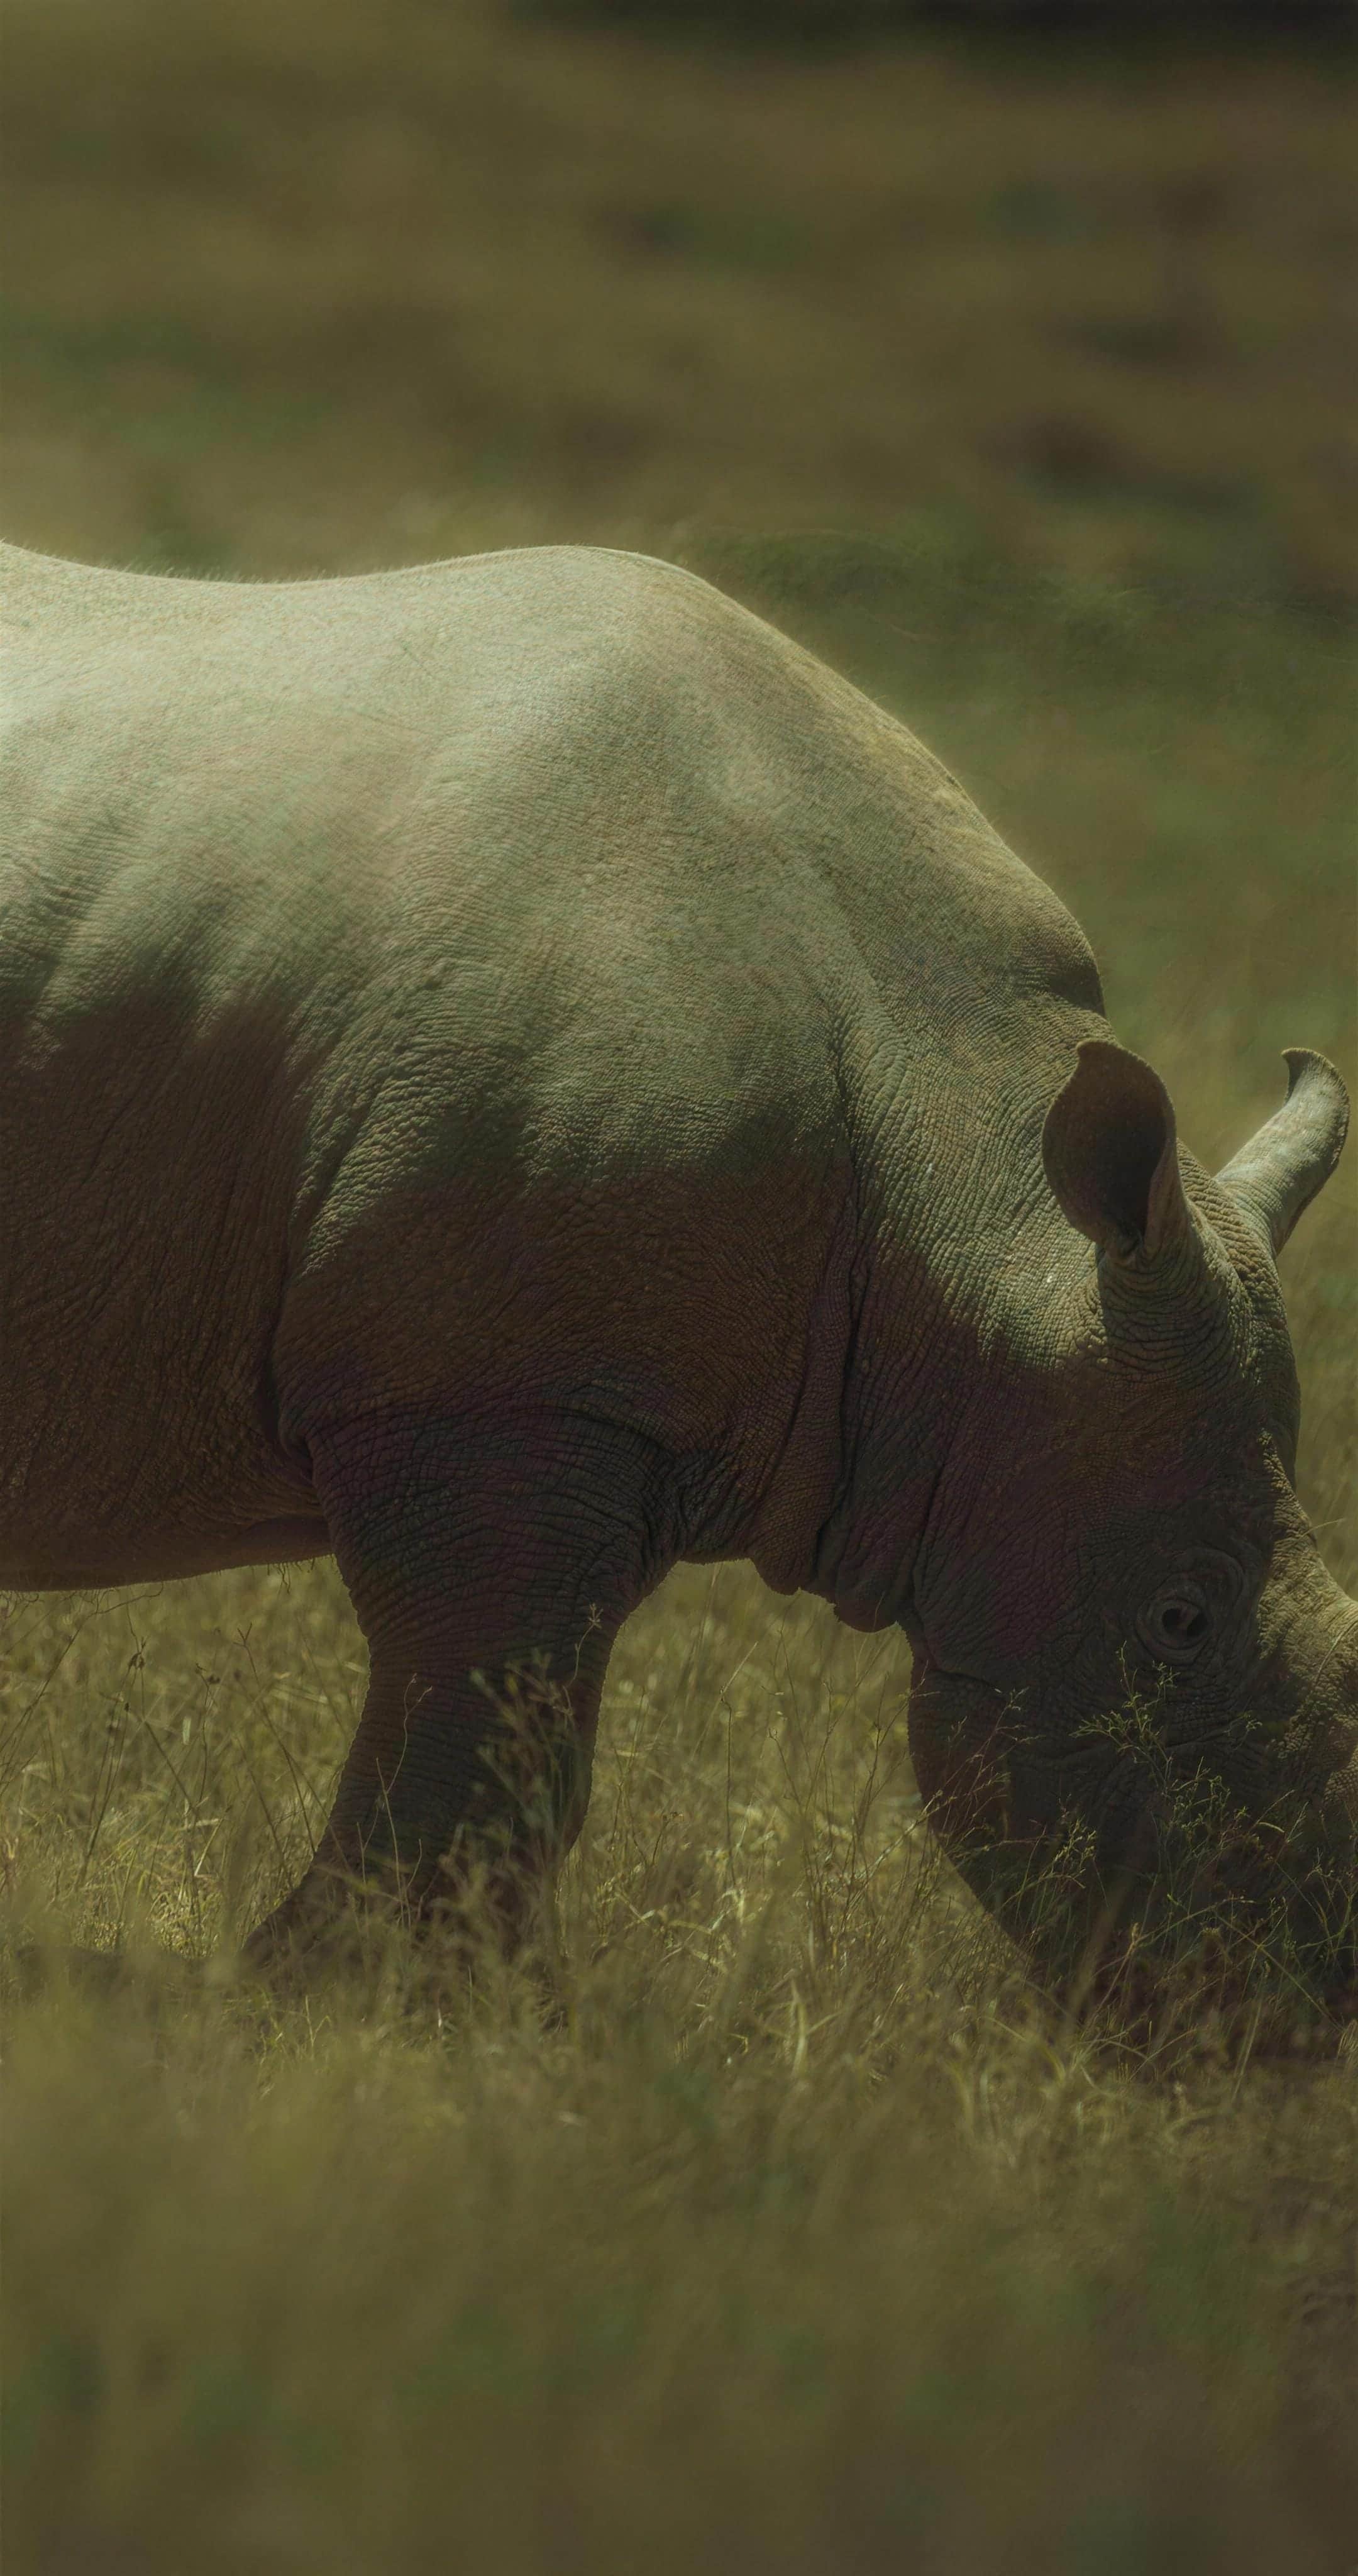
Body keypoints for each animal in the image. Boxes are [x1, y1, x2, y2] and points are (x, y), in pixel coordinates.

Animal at [2, 536, 1353, 2014]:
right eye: (1180, 1619)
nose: (1283, 2023)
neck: (968, 1156)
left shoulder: (607, 1395)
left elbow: (522, 1724)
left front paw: (446, 2006)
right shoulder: (494, 1389)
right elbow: (489, 1706)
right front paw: (358, 2004)